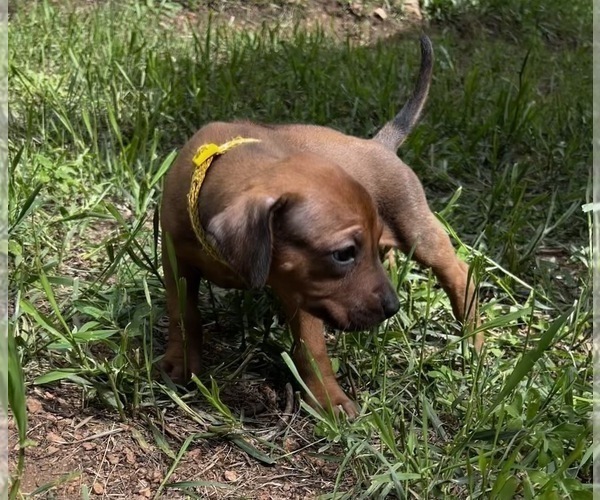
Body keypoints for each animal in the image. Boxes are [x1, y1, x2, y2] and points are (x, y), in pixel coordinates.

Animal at [159, 36, 478, 418]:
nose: (392, 307)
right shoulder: (176, 259)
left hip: (416, 226)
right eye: (344, 254)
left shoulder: (303, 289)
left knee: (458, 271)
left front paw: (328, 399)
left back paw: (472, 335)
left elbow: (312, 348)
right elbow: (183, 313)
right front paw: (181, 363)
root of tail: (378, 144)